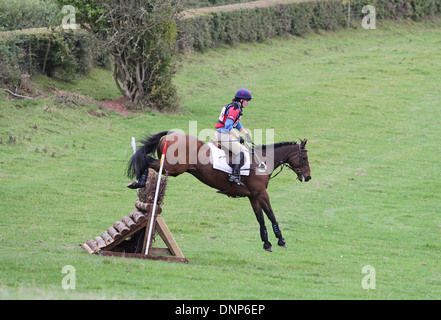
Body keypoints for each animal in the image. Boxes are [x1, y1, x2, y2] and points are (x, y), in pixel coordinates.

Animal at [125, 131, 312, 251]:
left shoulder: (253, 196)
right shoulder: (261, 194)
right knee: (146, 159)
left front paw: (266, 243)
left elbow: (260, 218)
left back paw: (139, 182)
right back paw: (139, 180)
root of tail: (170, 135)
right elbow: (271, 215)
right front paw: (281, 239)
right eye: (304, 158)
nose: (308, 176)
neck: (264, 161)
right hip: (172, 168)